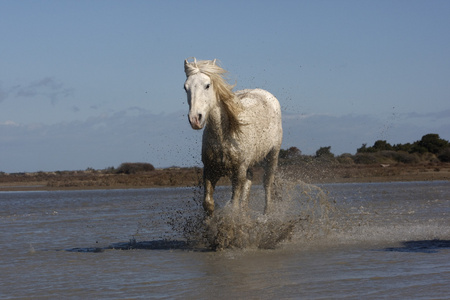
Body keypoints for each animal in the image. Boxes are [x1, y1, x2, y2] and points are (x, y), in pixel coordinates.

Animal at [183, 57, 282, 216]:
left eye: (207, 85)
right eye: (185, 87)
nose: (195, 119)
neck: (223, 137)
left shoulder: (238, 172)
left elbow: (233, 205)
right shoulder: (210, 170)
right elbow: (208, 203)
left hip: (272, 155)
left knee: (267, 184)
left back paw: (266, 214)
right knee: (249, 182)